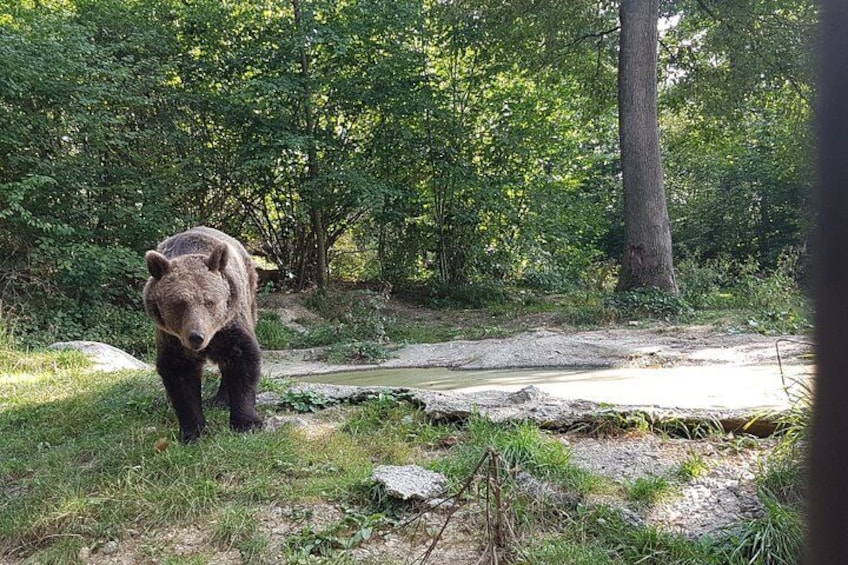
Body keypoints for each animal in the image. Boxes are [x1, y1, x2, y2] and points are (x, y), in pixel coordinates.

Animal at [143, 226, 263, 442]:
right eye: (179, 304)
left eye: (209, 301)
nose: (196, 337)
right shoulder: (173, 339)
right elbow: (180, 375)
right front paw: (193, 432)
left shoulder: (229, 326)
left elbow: (242, 361)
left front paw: (247, 423)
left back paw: (221, 399)